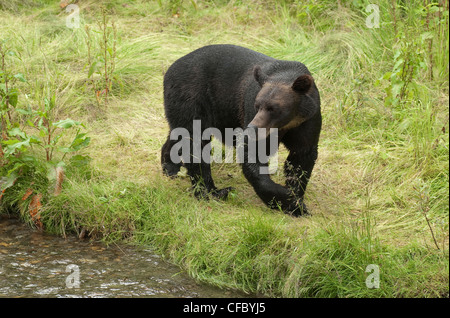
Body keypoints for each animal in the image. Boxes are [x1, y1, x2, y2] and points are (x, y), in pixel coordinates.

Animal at [160, 44, 322, 216]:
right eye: (258, 105)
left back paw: (170, 166)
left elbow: (302, 158)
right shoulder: (250, 108)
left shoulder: (307, 120)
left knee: (180, 134)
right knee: (195, 141)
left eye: (273, 108)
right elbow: (252, 152)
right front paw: (288, 200)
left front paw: (296, 200)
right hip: (192, 96)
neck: (288, 122)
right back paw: (213, 191)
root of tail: (171, 68)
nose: (252, 128)